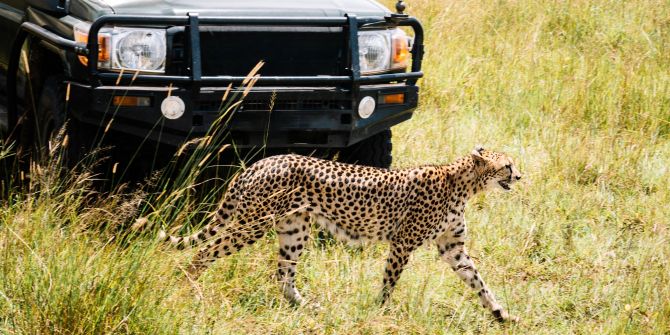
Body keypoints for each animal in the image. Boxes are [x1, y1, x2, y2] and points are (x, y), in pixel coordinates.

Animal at [161, 146, 524, 322]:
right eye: (506, 165)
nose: (520, 176)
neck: (463, 184)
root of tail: (261, 161)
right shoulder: (402, 244)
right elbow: (390, 282)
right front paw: (380, 310)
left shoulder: (453, 248)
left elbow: (478, 280)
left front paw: (499, 312)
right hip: (252, 224)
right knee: (204, 252)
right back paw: (186, 289)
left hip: (294, 229)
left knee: (283, 274)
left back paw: (307, 306)